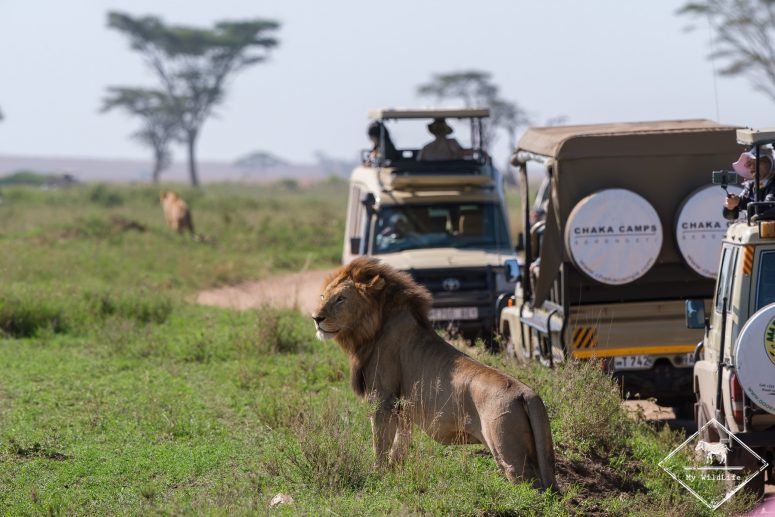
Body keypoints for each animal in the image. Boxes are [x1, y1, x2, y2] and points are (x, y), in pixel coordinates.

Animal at [312, 256, 558, 491]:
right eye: (323, 296)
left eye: (340, 298)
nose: (316, 318)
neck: (372, 328)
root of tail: (527, 395)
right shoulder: (403, 408)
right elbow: (399, 446)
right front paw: (394, 474)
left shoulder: (382, 399)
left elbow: (380, 444)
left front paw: (377, 475)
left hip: (509, 454)